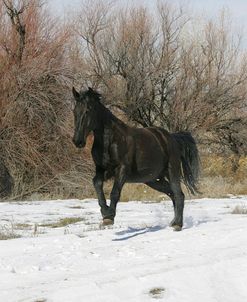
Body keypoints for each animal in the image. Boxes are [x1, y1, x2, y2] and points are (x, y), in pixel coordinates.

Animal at [71, 87, 199, 231]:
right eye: (75, 111)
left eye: (88, 110)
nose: (77, 141)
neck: (111, 140)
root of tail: (172, 138)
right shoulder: (101, 169)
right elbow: (97, 184)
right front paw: (105, 214)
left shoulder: (122, 169)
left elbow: (115, 192)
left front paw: (110, 216)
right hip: (153, 179)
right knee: (172, 194)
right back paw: (174, 222)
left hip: (172, 171)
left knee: (178, 194)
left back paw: (178, 225)